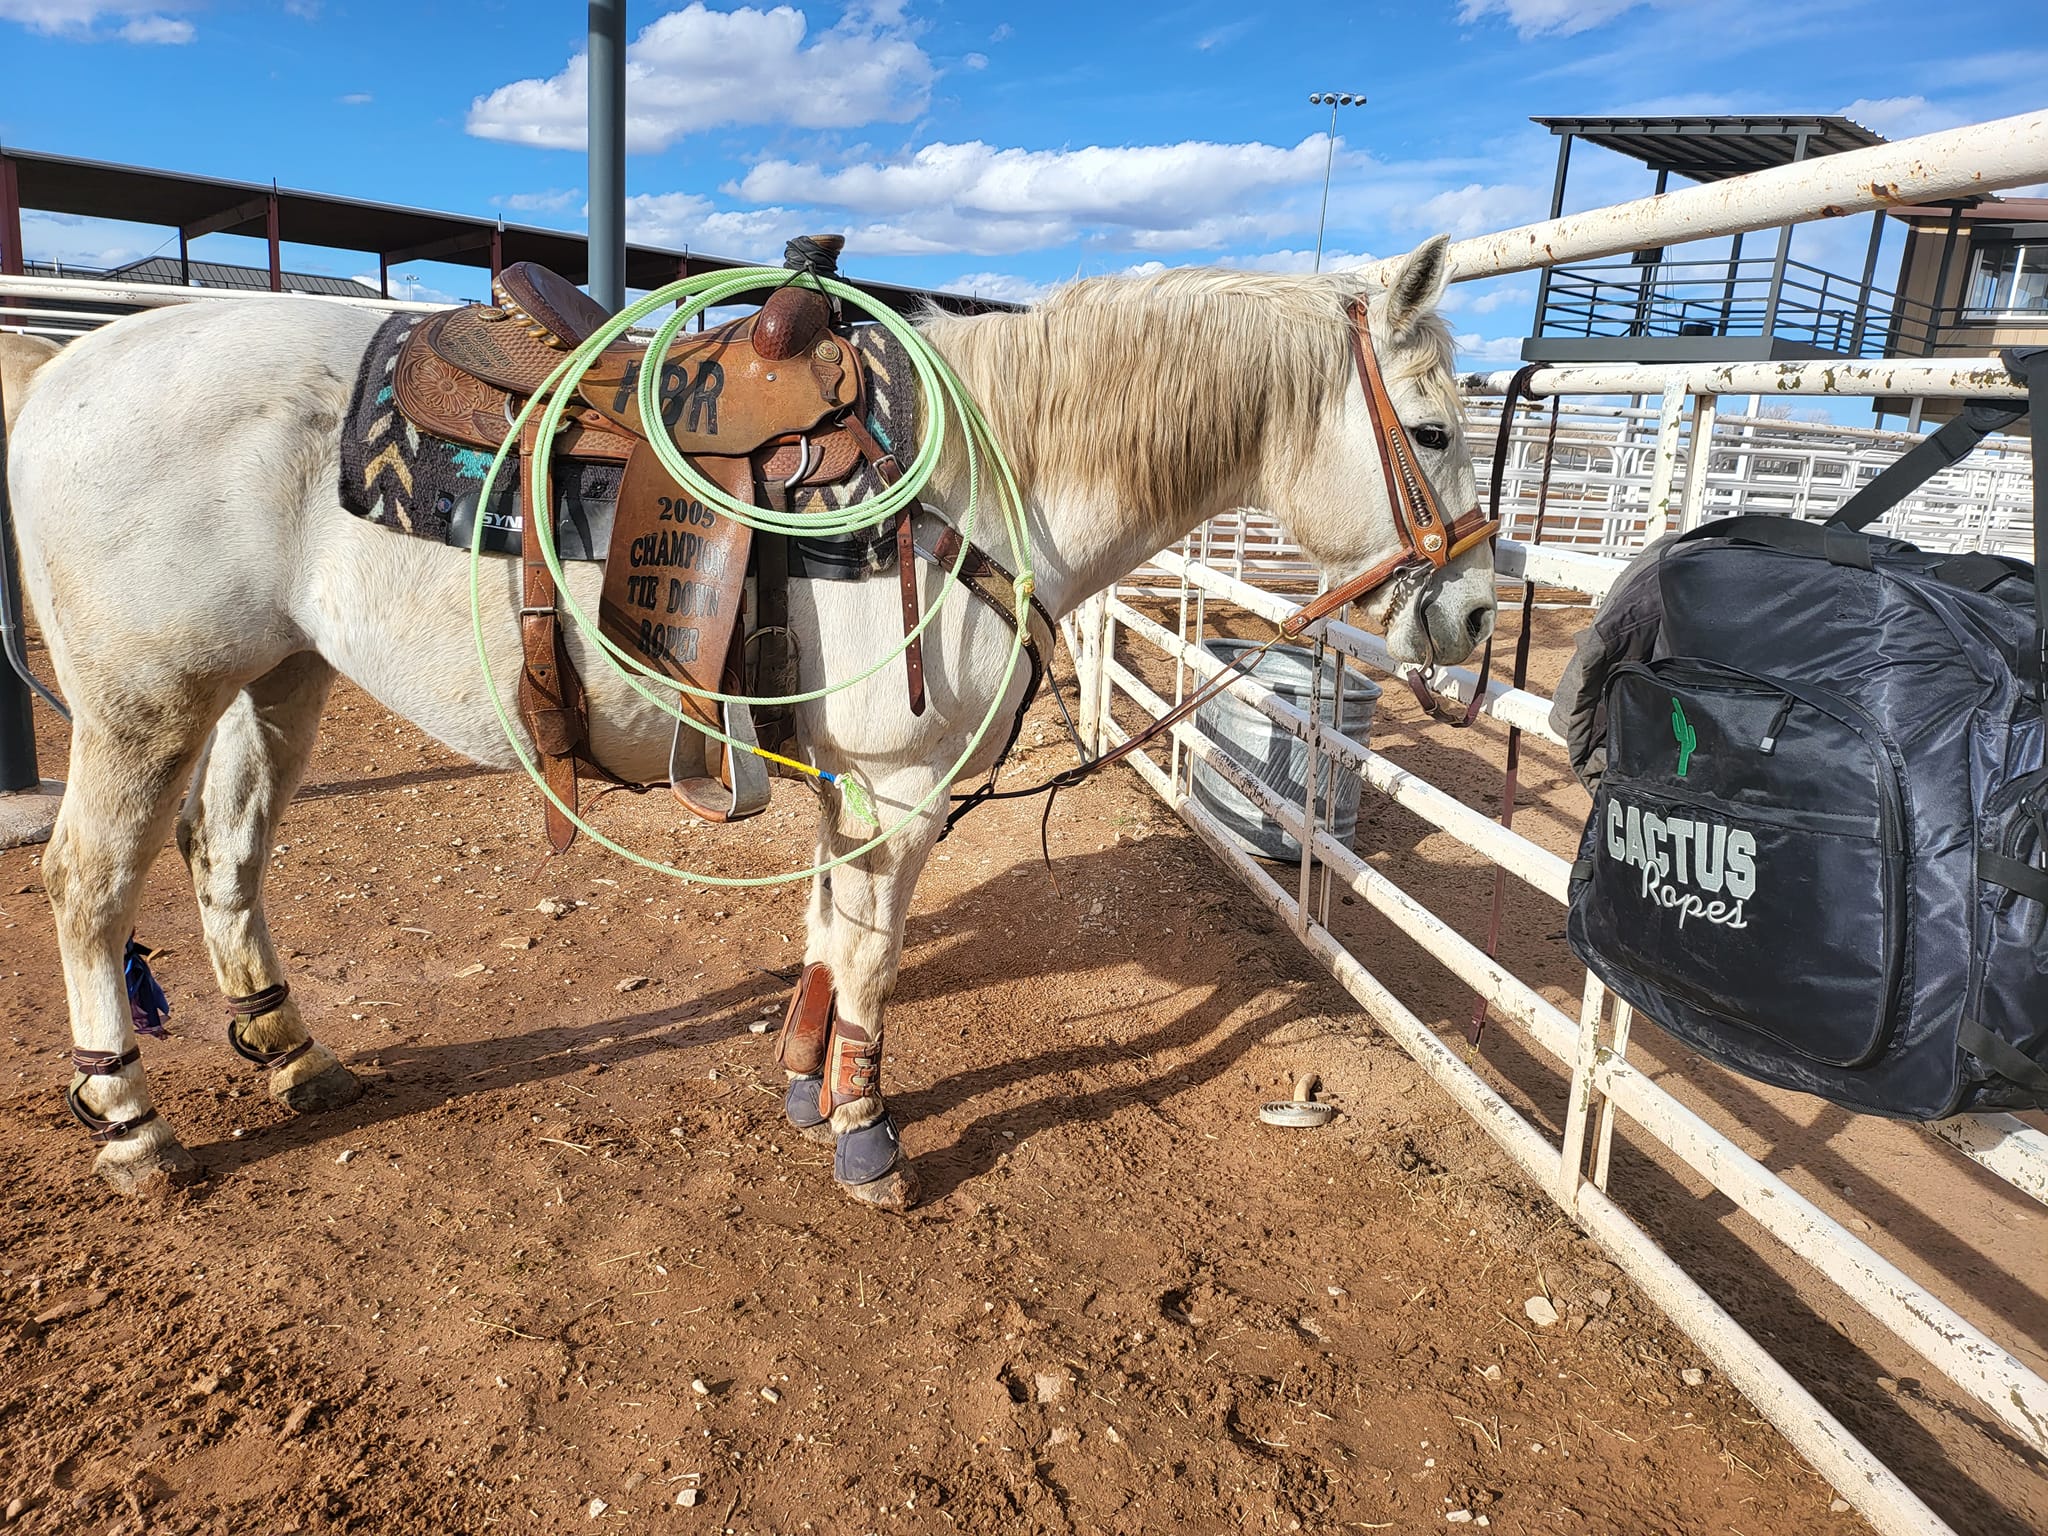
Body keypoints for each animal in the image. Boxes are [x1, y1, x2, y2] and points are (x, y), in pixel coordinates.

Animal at [8, 234, 1499, 1212]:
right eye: (1429, 431)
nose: (1479, 617)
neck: (992, 470)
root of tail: (74, 363)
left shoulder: (855, 784)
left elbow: (830, 933)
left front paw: (801, 1082)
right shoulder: (903, 783)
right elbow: (877, 954)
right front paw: (864, 1132)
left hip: (277, 677)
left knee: (228, 858)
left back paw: (290, 1054)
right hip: (144, 703)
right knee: (89, 884)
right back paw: (129, 1121)